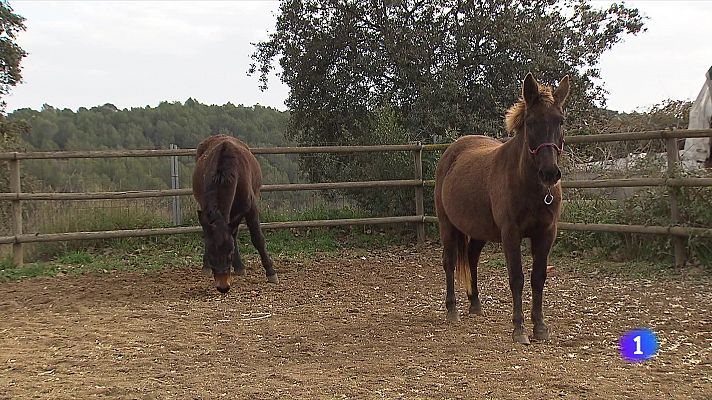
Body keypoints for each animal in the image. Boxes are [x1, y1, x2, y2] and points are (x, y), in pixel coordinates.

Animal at [192, 134, 278, 294]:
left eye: (230, 252)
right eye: (211, 253)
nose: (223, 287)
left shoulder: (250, 208)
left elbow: (257, 238)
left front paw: (271, 272)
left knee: (235, 232)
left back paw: (239, 267)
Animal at [434, 72, 568, 344]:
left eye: (560, 121)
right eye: (531, 122)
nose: (549, 173)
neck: (531, 187)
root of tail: (451, 153)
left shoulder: (546, 234)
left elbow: (538, 278)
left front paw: (540, 327)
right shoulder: (511, 234)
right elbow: (517, 278)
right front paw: (519, 329)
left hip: (479, 230)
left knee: (472, 259)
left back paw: (475, 304)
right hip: (447, 225)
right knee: (450, 261)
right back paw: (452, 310)